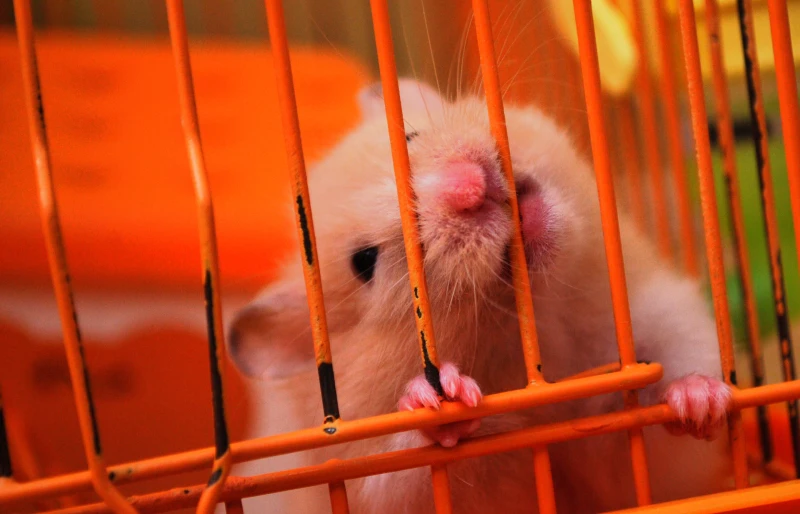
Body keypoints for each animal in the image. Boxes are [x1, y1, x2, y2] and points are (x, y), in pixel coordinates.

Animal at [228, 79, 734, 513]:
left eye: (409, 136)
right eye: (364, 263)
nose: (468, 187)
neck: (548, 335)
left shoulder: (664, 326)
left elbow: (664, 413)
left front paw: (701, 399)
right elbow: (416, 471)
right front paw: (442, 397)